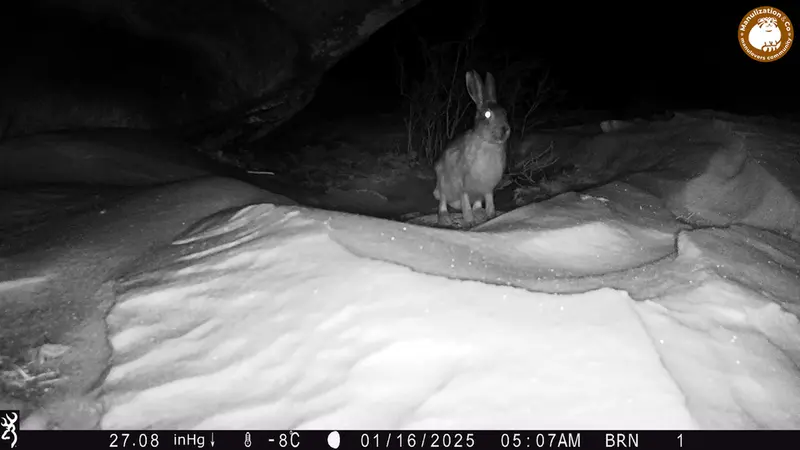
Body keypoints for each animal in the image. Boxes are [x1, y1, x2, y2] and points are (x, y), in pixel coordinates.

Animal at [433, 70, 511, 227]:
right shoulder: (463, 187)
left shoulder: (487, 188)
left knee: (477, 204)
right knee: (442, 201)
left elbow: (490, 202)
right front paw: (470, 222)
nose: (505, 129)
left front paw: (491, 217)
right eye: (487, 114)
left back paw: (480, 214)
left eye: (505, 113)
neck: (488, 143)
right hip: (443, 184)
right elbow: (466, 204)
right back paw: (445, 218)